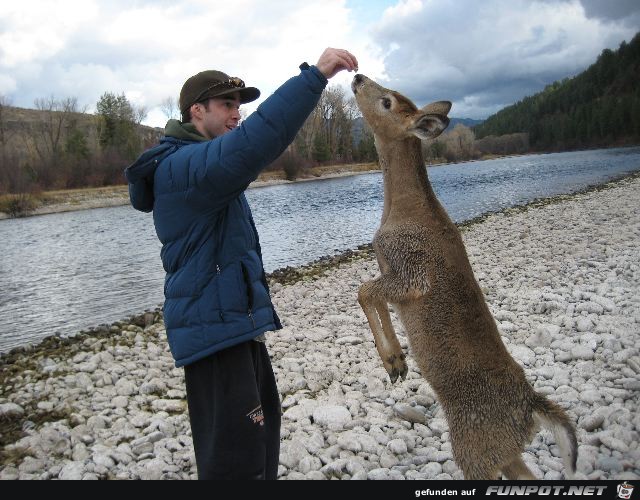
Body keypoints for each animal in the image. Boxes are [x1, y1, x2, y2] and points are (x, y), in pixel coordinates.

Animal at [352, 74, 576, 480]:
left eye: (388, 101)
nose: (358, 77)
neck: (401, 210)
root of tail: (529, 408)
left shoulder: (411, 271)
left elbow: (364, 291)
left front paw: (393, 361)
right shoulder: (393, 272)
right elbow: (372, 295)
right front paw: (398, 362)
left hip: (474, 449)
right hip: (502, 451)